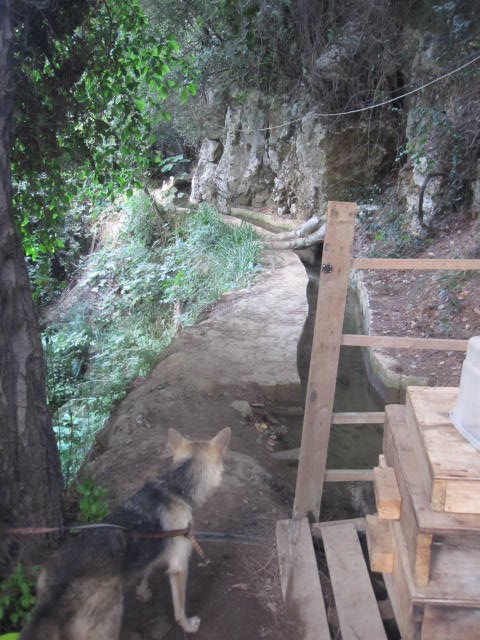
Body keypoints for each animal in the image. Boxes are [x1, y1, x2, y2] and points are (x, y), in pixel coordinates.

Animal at [21, 428, 232, 636]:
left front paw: (142, 592)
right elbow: (179, 609)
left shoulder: (156, 547)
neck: (175, 487)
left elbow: (147, 569)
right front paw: (188, 625)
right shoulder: (179, 566)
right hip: (109, 623)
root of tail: (57, 589)